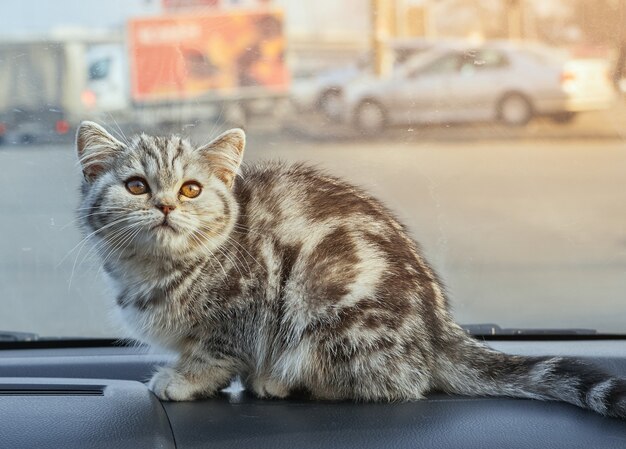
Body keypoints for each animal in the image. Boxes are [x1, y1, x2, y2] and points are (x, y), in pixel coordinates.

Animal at [77, 121, 624, 418]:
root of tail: (437, 327)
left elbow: (215, 353)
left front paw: (184, 379)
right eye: (136, 186)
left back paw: (281, 380)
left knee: (397, 384)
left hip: (327, 304)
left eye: (191, 189)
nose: (167, 205)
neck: (160, 268)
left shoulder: (243, 307)